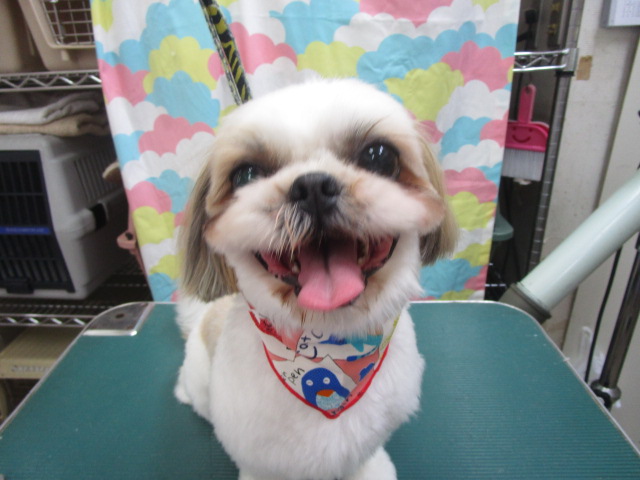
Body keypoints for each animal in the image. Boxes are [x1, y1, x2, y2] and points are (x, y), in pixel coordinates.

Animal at [175, 79, 456, 480]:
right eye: (246, 174)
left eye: (379, 156)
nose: (312, 187)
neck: (327, 339)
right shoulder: (258, 455)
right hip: (201, 378)